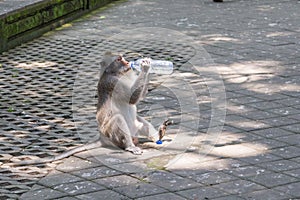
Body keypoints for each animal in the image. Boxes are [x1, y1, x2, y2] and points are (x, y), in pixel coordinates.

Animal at [13, 52, 171, 166]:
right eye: (119, 59)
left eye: (123, 58)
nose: (128, 62)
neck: (117, 73)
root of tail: (101, 136)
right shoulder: (113, 83)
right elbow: (132, 98)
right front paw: (145, 66)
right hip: (111, 133)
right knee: (118, 119)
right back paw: (130, 146)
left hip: (133, 129)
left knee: (139, 121)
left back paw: (159, 135)